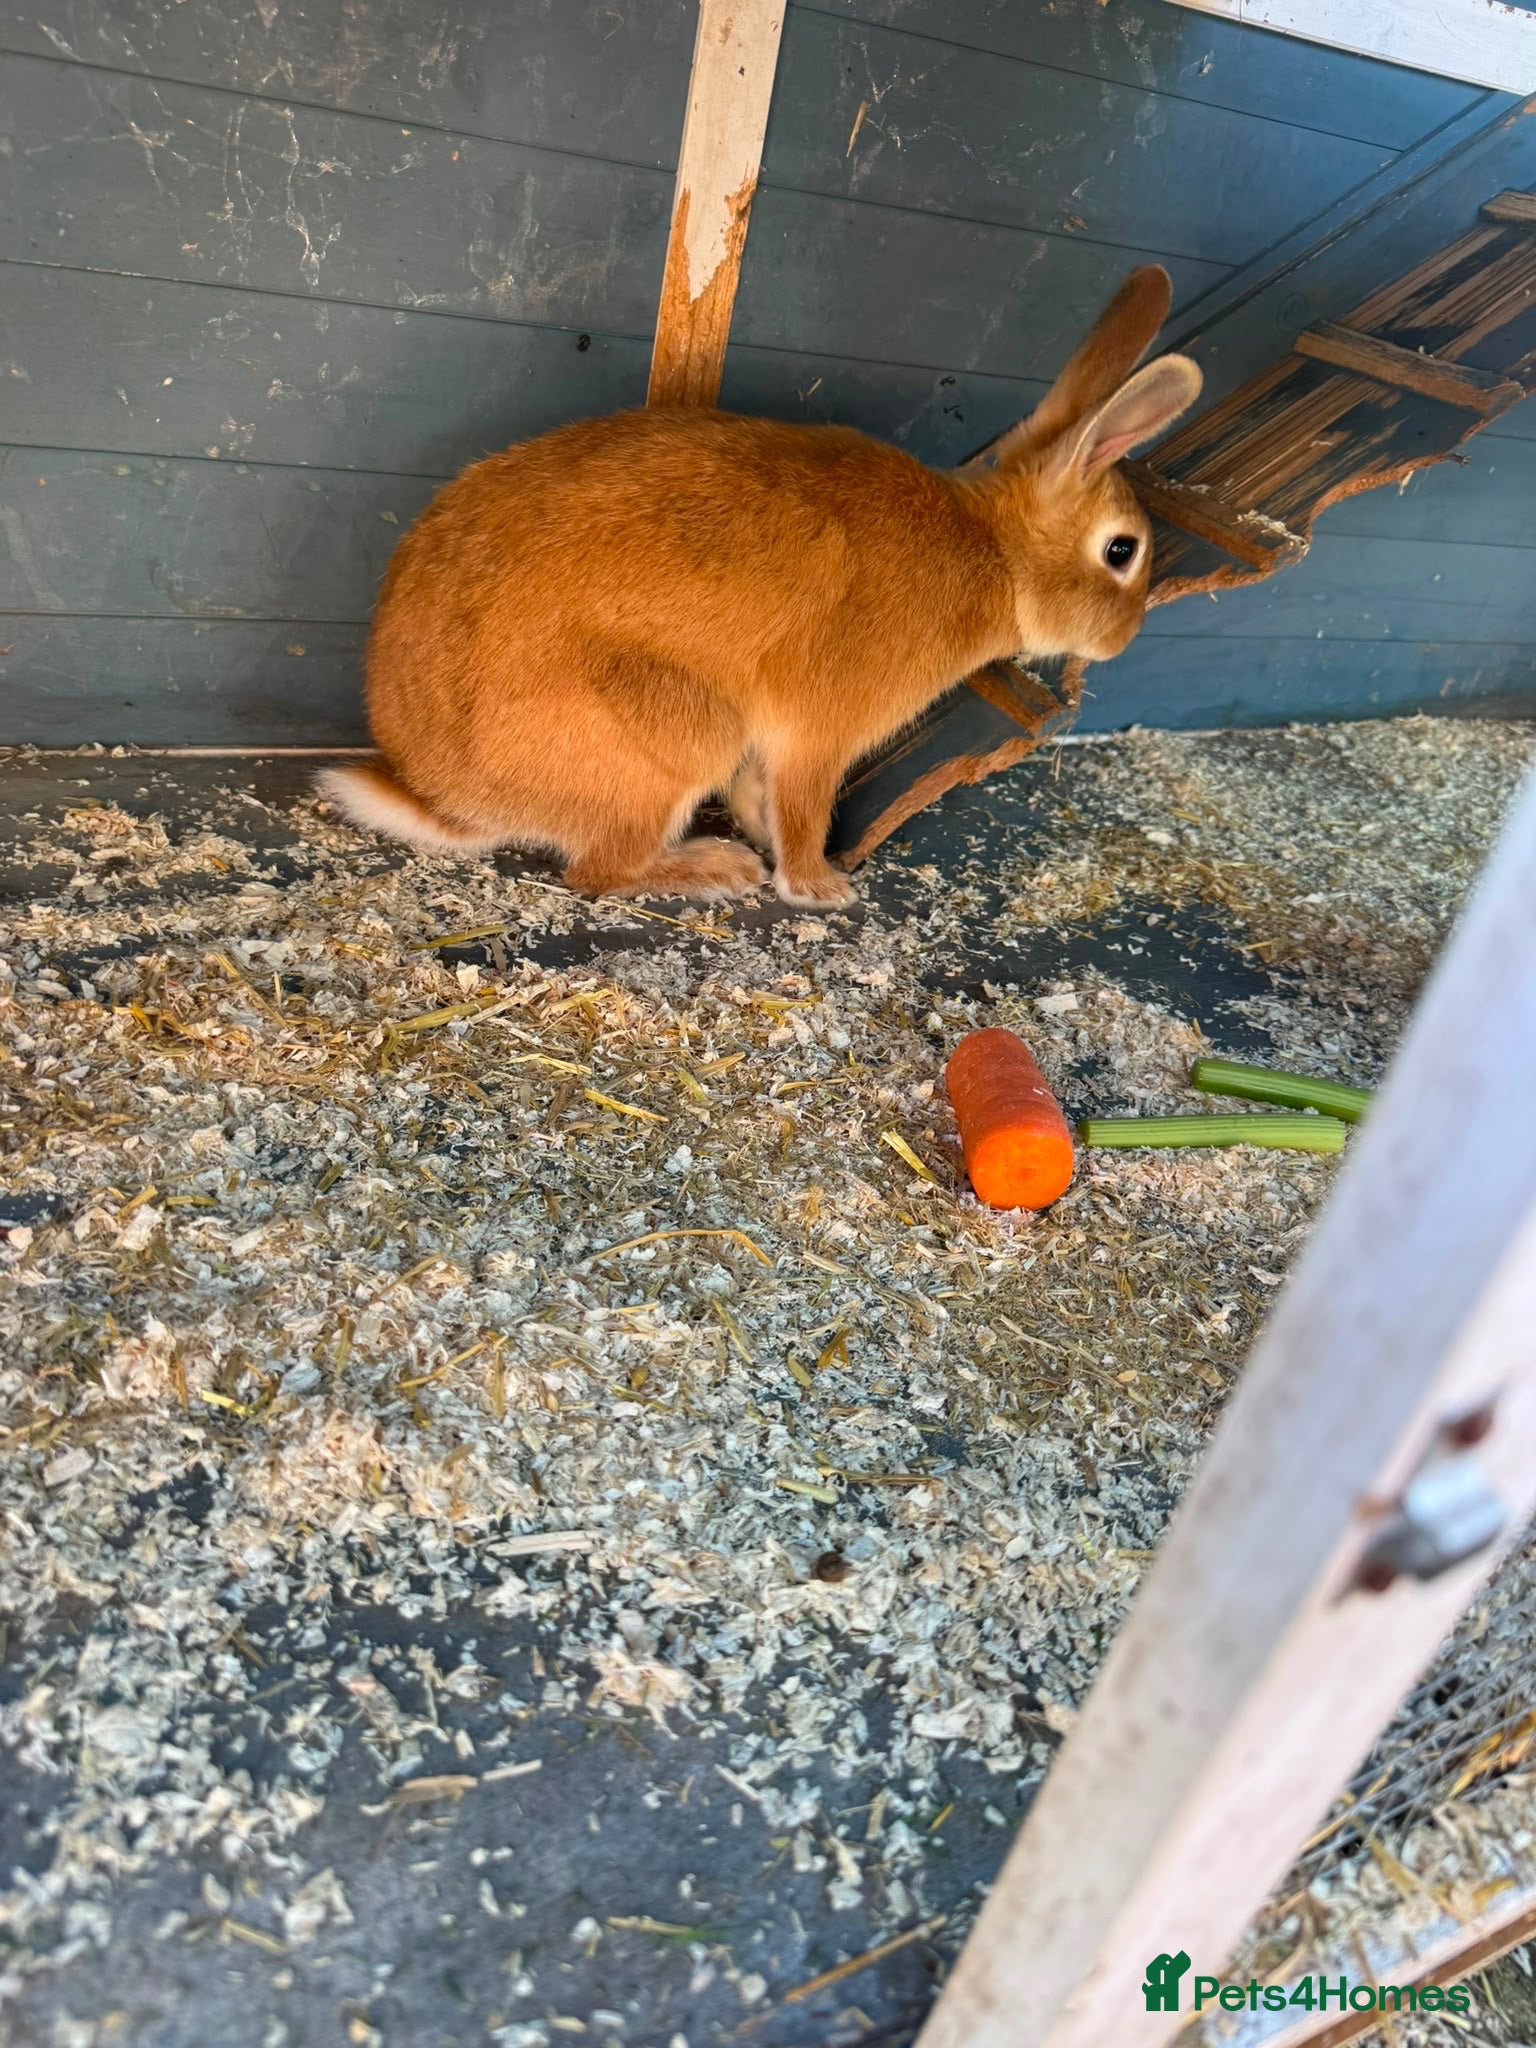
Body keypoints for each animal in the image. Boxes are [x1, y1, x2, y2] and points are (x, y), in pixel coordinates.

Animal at [318, 265, 1199, 907]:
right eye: (1122, 550)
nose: (1126, 637)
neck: (992, 551)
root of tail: (444, 798)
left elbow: (762, 793)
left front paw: (765, 838)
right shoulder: (819, 729)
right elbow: (804, 802)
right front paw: (817, 885)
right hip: (677, 737)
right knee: (597, 873)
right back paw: (717, 869)